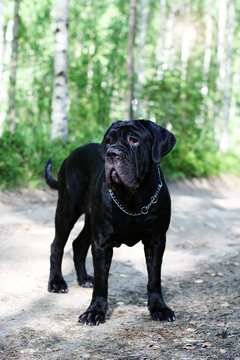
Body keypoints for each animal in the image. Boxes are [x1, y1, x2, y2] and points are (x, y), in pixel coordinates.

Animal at [45, 119, 176, 324]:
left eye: (133, 140)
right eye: (109, 141)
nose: (112, 153)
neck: (132, 198)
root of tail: (70, 155)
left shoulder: (156, 240)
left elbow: (154, 278)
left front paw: (159, 308)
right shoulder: (102, 241)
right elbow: (102, 280)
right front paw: (95, 311)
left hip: (89, 220)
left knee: (78, 244)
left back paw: (84, 279)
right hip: (67, 211)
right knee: (57, 246)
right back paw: (56, 282)